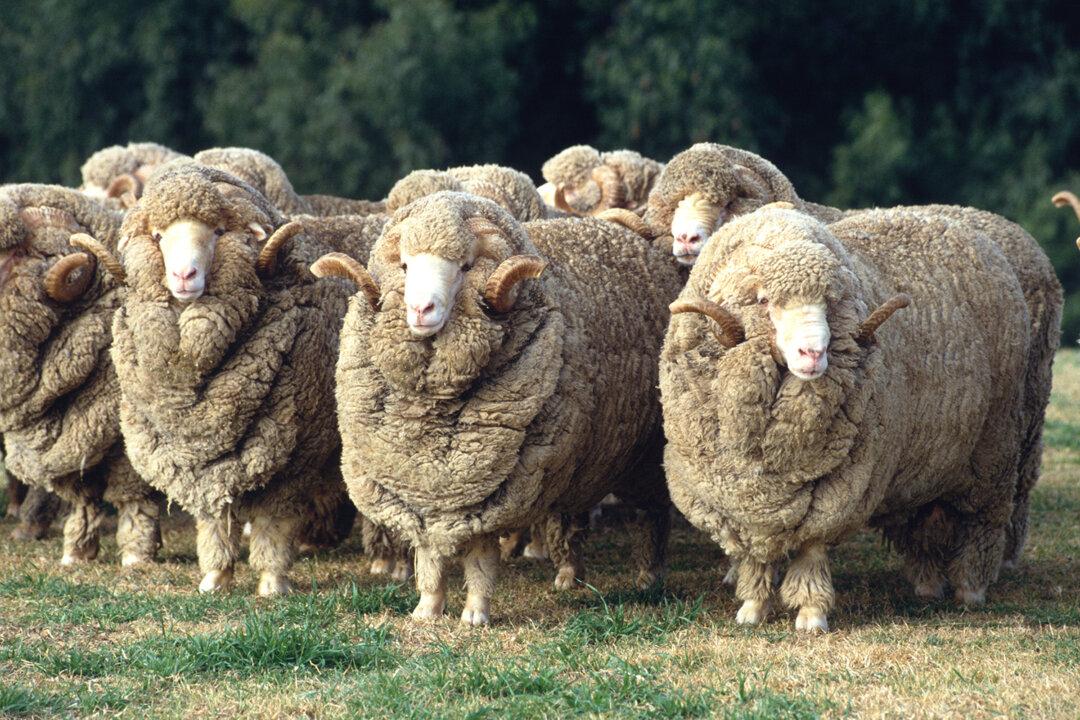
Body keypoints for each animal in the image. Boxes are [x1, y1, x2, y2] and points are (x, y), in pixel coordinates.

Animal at [0, 183, 163, 565]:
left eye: (14, 255)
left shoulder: (127, 436)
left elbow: (133, 496)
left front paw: (136, 552)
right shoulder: (76, 440)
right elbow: (84, 499)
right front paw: (77, 550)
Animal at [103, 161, 386, 595]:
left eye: (218, 232)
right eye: (159, 236)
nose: (184, 275)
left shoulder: (293, 456)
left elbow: (272, 522)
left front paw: (271, 582)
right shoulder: (204, 459)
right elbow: (215, 520)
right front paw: (215, 578)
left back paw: (390, 565)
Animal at [316, 191, 682, 624]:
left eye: (465, 266)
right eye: (404, 265)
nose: (421, 310)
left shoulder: (491, 491)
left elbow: (480, 558)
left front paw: (475, 613)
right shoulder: (422, 494)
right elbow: (429, 557)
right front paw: (427, 609)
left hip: (644, 458)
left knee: (652, 516)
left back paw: (649, 576)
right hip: (576, 460)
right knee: (571, 515)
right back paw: (569, 574)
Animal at [659, 204, 1055, 632]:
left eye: (830, 303)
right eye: (763, 300)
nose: (813, 353)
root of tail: (964, 225)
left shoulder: (840, 489)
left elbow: (811, 550)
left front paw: (811, 614)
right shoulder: (741, 501)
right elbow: (755, 557)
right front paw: (752, 607)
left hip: (994, 450)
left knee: (982, 524)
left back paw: (970, 589)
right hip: (931, 460)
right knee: (928, 524)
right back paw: (928, 585)